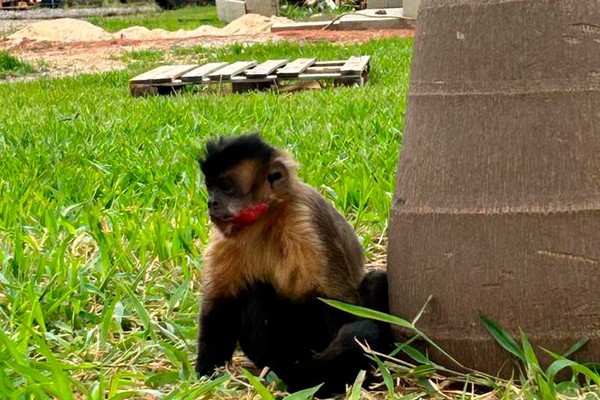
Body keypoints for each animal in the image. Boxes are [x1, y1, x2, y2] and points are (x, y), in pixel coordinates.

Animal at [196, 133, 394, 396]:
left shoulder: (304, 221)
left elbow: (338, 302)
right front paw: (208, 374)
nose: (212, 202)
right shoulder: (225, 238)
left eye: (226, 187)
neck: (265, 218)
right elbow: (219, 302)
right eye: (211, 187)